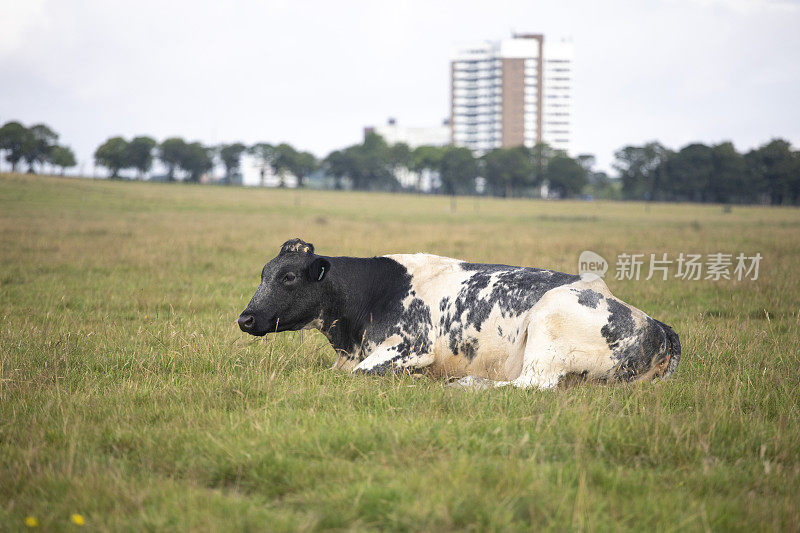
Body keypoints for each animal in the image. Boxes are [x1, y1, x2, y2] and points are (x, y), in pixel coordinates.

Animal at [238, 239, 680, 388]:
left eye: (289, 277)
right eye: (263, 273)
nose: (245, 319)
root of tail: (655, 325)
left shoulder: (411, 346)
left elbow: (361, 375)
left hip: (549, 329)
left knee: (533, 385)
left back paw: (466, 384)